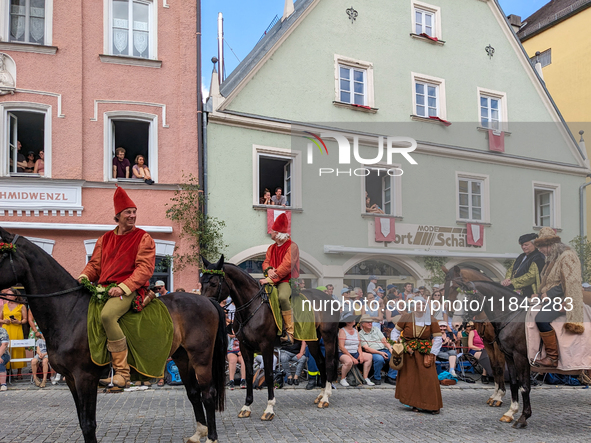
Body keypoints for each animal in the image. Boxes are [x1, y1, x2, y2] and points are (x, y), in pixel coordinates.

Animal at [0, 229, 227, 443]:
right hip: (182, 357)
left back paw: (212, 437)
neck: (69, 310)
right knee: (194, 393)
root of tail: (207, 301)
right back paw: (199, 433)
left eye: (1, 253)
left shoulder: (85, 377)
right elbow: (82, 420)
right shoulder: (71, 379)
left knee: (208, 393)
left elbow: (88, 424)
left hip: (201, 358)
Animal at [201, 256, 340, 420]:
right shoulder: (245, 347)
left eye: (214, 283)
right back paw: (321, 395)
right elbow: (249, 374)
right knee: (320, 362)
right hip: (312, 340)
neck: (252, 307)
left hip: (329, 337)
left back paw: (326, 398)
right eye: (201, 281)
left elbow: (268, 374)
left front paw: (269, 408)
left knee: (329, 363)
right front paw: (246, 406)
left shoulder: (266, 346)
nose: (204, 306)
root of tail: (329, 298)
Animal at [454, 280, 536, 428]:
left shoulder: (500, 348)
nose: (455, 325)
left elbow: (500, 369)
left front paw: (499, 396)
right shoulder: (489, 344)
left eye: (468, 300)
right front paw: (496, 396)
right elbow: (494, 367)